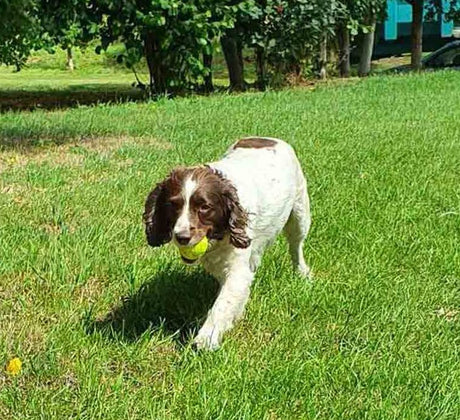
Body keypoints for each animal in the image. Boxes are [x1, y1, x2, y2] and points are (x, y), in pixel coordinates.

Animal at [143, 136, 312, 350]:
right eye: (173, 205)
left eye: (204, 207)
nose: (181, 237)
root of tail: (269, 138)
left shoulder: (237, 267)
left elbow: (222, 304)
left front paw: (206, 339)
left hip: (299, 214)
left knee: (296, 246)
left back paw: (303, 273)